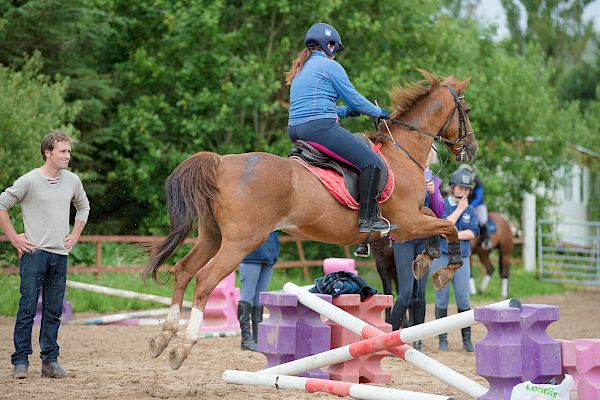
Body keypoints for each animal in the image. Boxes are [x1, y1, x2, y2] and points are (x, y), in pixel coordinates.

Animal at [141, 69, 478, 368]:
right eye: (466, 110)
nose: (472, 149)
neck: (402, 152)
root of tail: (221, 163)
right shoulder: (406, 224)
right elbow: (447, 225)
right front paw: (445, 268)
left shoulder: (411, 221)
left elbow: (436, 218)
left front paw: (426, 258)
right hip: (241, 242)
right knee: (205, 279)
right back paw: (183, 346)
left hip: (213, 236)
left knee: (184, 270)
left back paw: (163, 337)